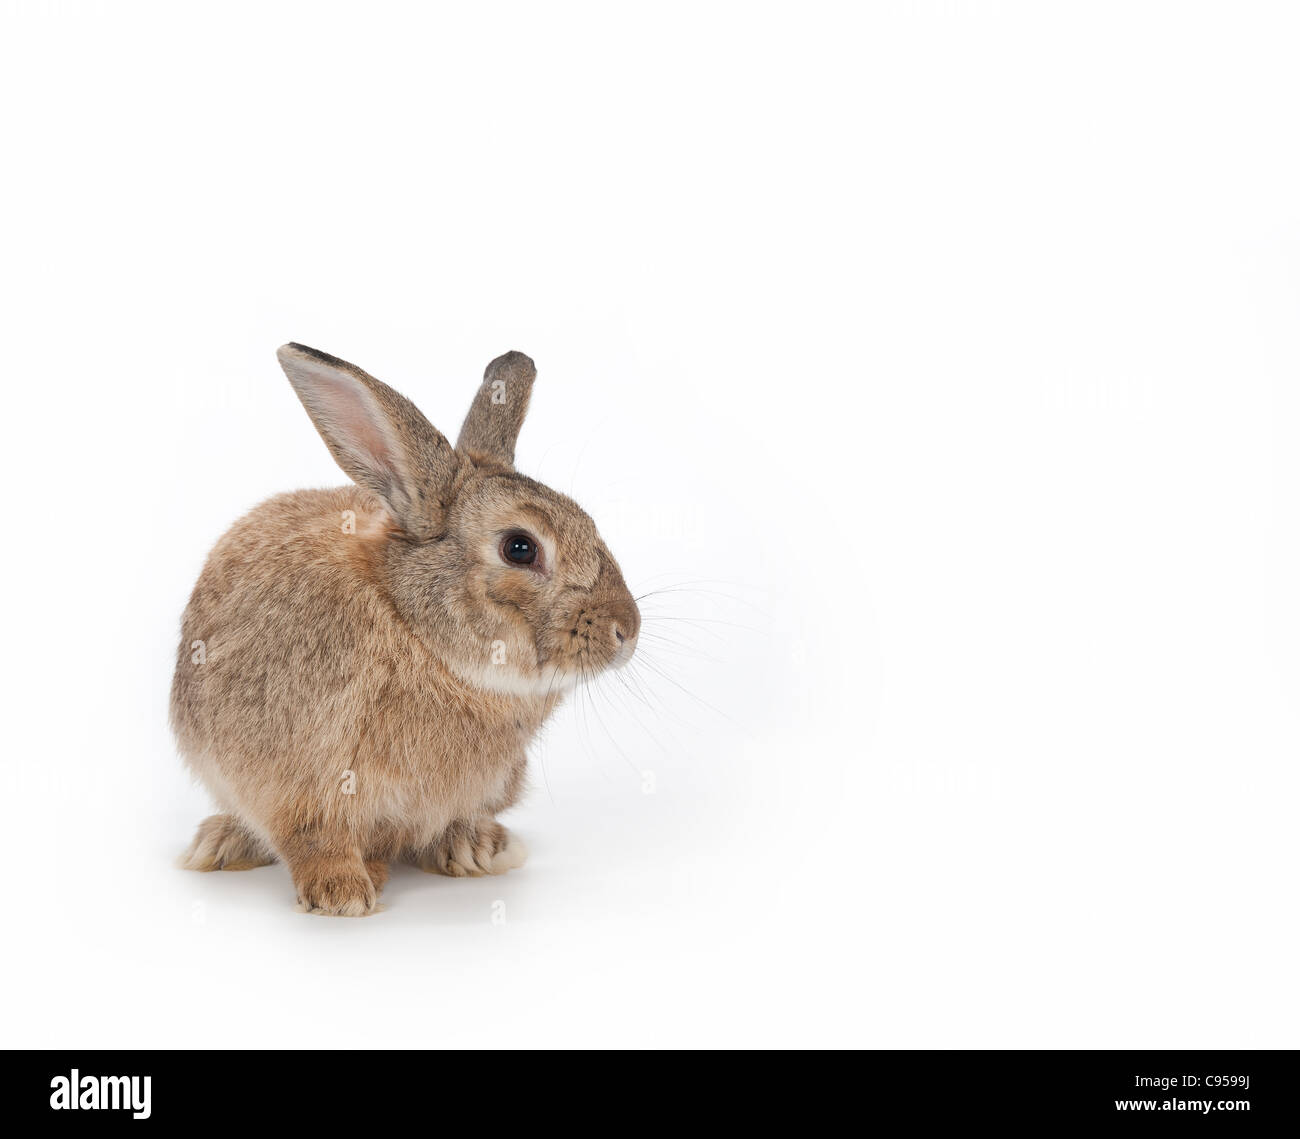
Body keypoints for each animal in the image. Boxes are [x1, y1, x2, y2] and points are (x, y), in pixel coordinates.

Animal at [171, 344, 640, 915]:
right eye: (519, 547)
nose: (627, 629)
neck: (412, 624)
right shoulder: (294, 778)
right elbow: (311, 837)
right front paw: (341, 894)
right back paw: (220, 845)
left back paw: (477, 848)